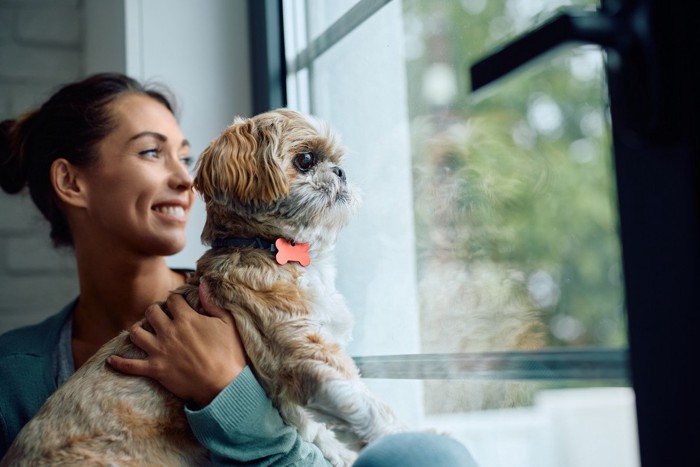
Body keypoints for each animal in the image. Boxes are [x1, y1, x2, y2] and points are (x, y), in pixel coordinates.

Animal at [1, 109, 404, 467]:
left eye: (338, 161)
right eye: (305, 160)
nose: (340, 171)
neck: (264, 246)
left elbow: (315, 428)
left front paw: (339, 452)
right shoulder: (303, 354)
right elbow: (360, 403)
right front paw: (393, 435)